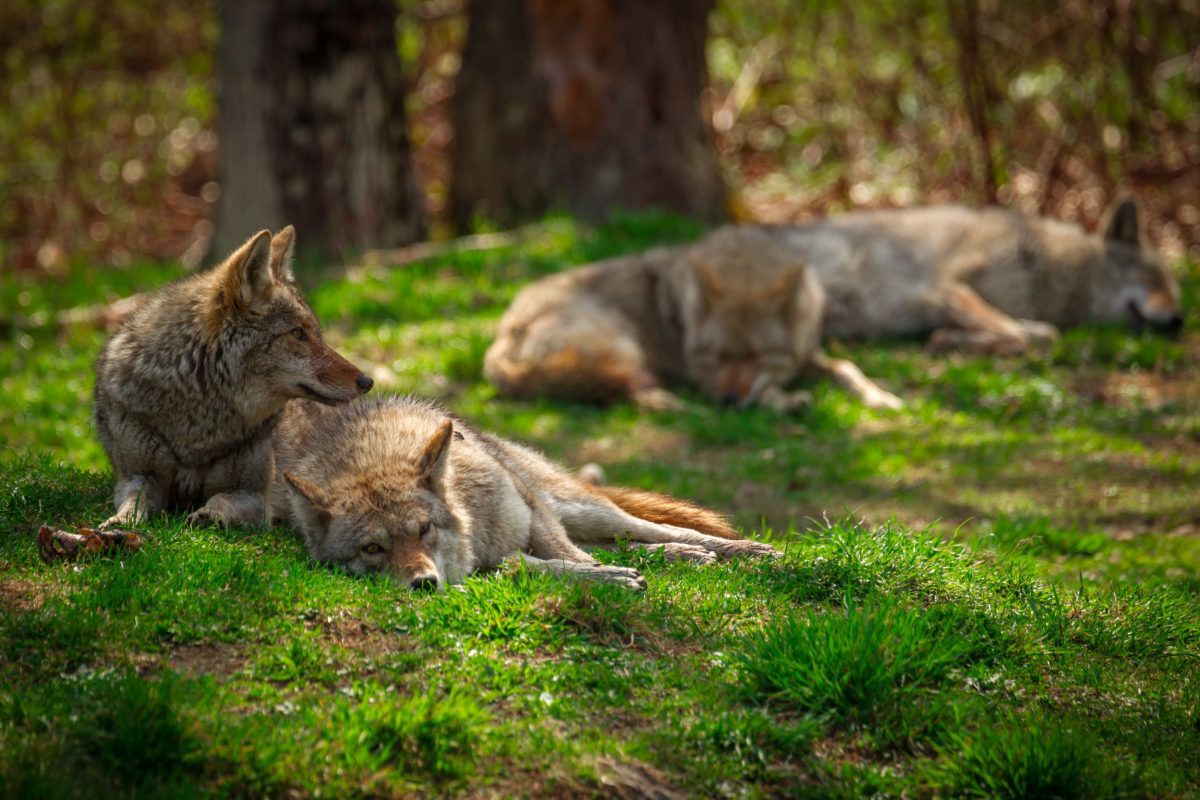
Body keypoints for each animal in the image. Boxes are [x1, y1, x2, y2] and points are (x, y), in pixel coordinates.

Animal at [93, 226, 373, 530]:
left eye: (317, 334)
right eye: (298, 334)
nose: (366, 381)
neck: (200, 426)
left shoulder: (252, 495)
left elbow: (221, 500)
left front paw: (208, 514)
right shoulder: (138, 477)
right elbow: (136, 500)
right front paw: (119, 521)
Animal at [270, 395, 779, 591]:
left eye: (424, 529)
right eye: (372, 549)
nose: (424, 584)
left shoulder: (532, 513)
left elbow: (571, 558)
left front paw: (606, 578)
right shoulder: (496, 562)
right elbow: (531, 566)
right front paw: (611, 579)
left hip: (581, 508)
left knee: (652, 529)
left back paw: (750, 552)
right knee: (632, 543)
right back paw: (681, 558)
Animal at [484, 226, 902, 413]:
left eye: (756, 355)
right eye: (715, 356)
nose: (728, 401)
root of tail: (504, 332)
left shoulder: (807, 354)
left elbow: (846, 367)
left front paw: (880, 396)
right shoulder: (707, 377)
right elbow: (767, 391)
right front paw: (786, 401)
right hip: (625, 346)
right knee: (630, 394)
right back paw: (682, 406)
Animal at [770, 198, 1182, 353]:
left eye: (1174, 291)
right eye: (1153, 279)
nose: (1179, 320)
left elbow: (1042, 332)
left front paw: (949, 336)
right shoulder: (947, 289)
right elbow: (1016, 333)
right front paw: (947, 339)